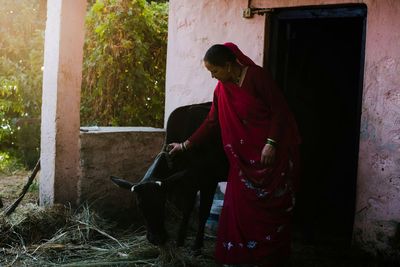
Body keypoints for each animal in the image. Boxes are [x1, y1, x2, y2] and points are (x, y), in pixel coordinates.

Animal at [111, 102, 227, 251]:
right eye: (139, 205)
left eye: (163, 202)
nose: (156, 239)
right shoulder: (190, 182)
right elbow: (186, 211)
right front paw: (180, 241)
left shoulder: (209, 180)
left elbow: (203, 213)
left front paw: (197, 247)